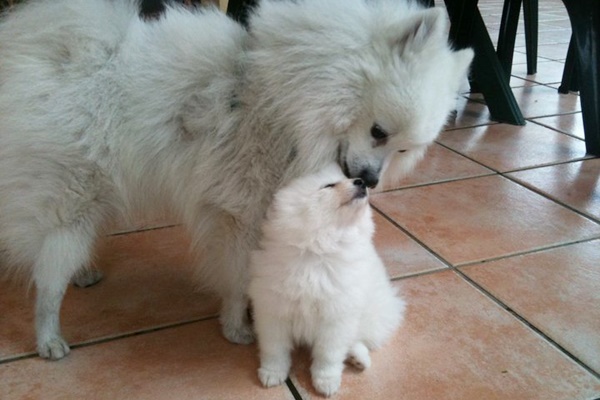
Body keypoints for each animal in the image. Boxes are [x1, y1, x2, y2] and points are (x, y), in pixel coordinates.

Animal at [0, 0, 472, 360]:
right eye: (379, 131)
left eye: (404, 150)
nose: (370, 180)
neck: (279, 104)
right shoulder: (238, 214)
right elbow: (238, 276)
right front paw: (236, 326)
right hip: (71, 199)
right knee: (48, 280)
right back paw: (49, 338)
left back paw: (83, 273)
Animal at [246, 164, 406, 396]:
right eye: (328, 186)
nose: (361, 182)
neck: (318, 252)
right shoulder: (273, 311)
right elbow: (275, 349)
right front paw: (272, 373)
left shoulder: (336, 318)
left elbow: (328, 355)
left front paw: (326, 381)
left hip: (375, 315)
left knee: (357, 338)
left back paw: (359, 359)